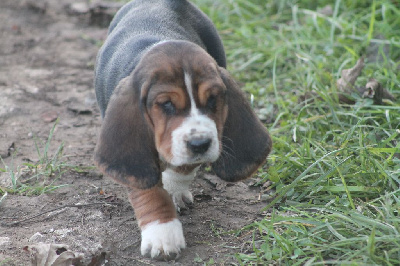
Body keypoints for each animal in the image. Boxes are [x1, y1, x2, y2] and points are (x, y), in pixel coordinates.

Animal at [93, 0, 272, 260]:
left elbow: (182, 168)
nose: (201, 144)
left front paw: (173, 189)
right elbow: (150, 191)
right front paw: (162, 234)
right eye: (166, 104)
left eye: (213, 100)